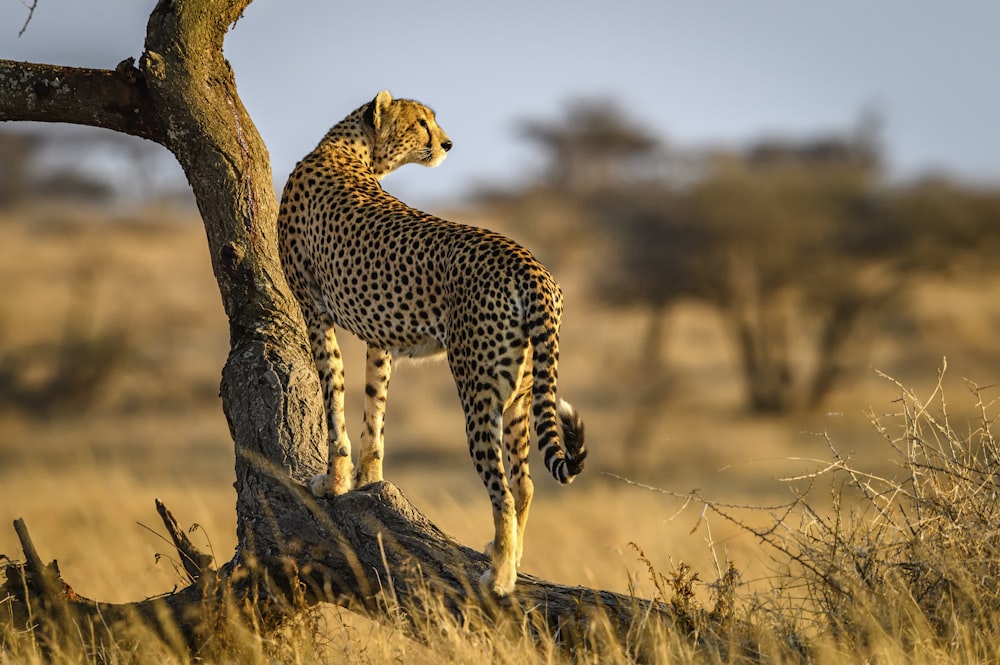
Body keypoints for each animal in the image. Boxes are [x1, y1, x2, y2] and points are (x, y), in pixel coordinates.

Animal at [276, 91, 584, 592]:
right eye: (422, 122)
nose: (447, 143)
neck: (347, 149)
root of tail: (529, 264)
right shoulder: (378, 335)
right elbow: (374, 409)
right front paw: (368, 479)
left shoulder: (315, 310)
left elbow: (333, 399)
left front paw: (334, 482)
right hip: (522, 392)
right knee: (524, 483)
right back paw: (509, 557)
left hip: (478, 391)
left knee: (500, 487)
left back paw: (499, 576)